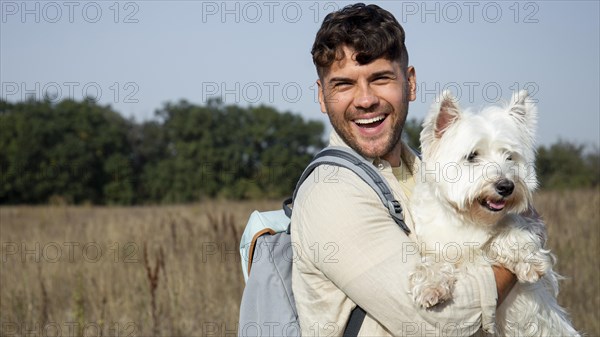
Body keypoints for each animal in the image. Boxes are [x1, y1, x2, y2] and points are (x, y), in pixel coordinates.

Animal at [410, 90, 580, 334]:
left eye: (509, 156)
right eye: (472, 156)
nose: (506, 186)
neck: (470, 218)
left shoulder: (528, 221)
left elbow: (512, 232)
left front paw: (529, 261)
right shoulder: (434, 243)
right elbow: (433, 261)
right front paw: (430, 284)